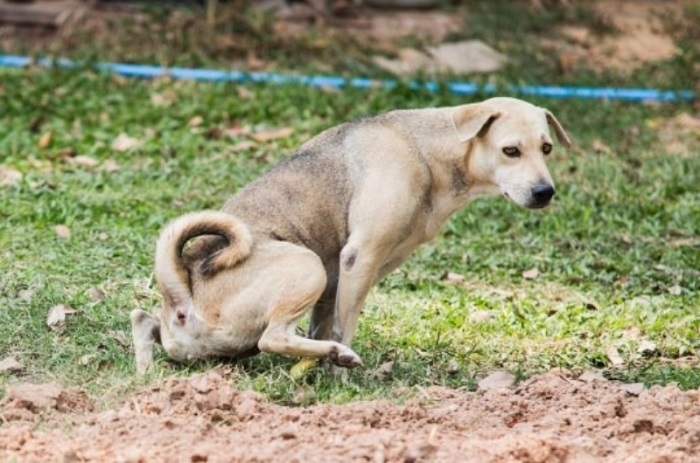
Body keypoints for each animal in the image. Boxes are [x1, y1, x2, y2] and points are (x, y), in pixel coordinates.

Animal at [130, 97, 568, 374]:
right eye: (510, 150)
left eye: (547, 148)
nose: (545, 192)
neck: (430, 151)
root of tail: (183, 294)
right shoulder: (360, 258)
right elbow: (344, 325)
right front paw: (339, 374)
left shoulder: (339, 272)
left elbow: (324, 321)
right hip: (304, 265)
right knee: (272, 339)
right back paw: (338, 355)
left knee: (143, 319)